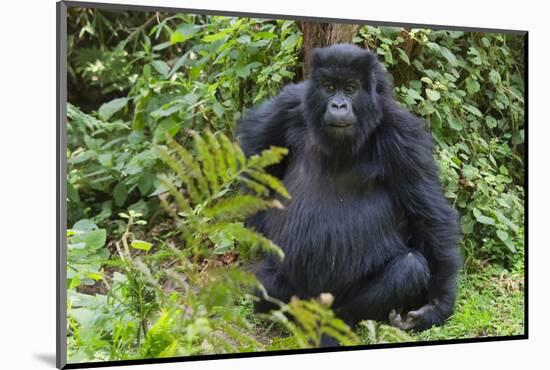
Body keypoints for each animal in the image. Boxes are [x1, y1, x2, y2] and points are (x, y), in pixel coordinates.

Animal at [239, 44, 464, 346]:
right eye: (329, 87)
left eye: (351, 88)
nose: (338, 106)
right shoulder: (288, 104)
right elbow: (253, 151)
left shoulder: (404, 133)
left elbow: (429, 215)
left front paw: (437, 305)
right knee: (265, 282)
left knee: (409, 267)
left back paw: (337, 322)